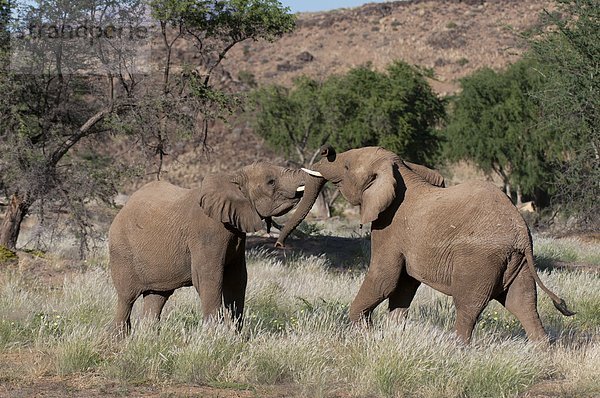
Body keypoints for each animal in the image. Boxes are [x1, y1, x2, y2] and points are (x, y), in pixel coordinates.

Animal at [109, 162, 322, 332]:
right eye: (271, 182)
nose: (279, 244)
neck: (232, 178)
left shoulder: (236, 233)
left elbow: (237, 279)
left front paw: (236, 336)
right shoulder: (208, 232)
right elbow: (209, 277)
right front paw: (214, 337)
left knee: (157, 297)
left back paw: (149, 338)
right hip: (121, 251)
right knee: (126, 298)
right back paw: (120, 340)